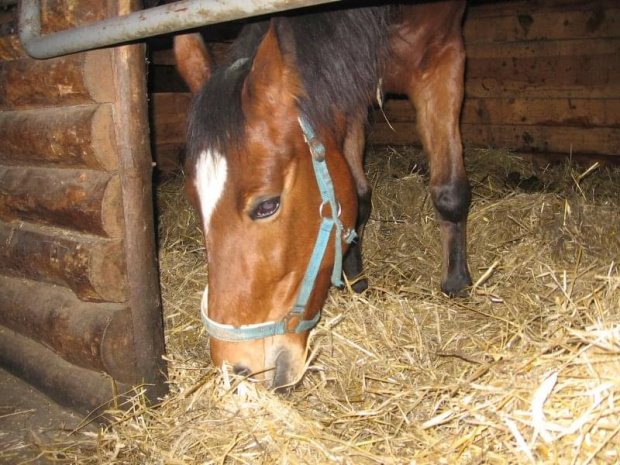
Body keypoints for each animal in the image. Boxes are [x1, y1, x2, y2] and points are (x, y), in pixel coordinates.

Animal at [172, 0, 472, 388]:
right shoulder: (350, 82)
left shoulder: (443, 55)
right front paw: (355, 279)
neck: (386, 14)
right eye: (195, 203)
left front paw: (457, 283)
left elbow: (449, 192)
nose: (236, 370)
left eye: (267, 205)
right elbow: (357, 197)